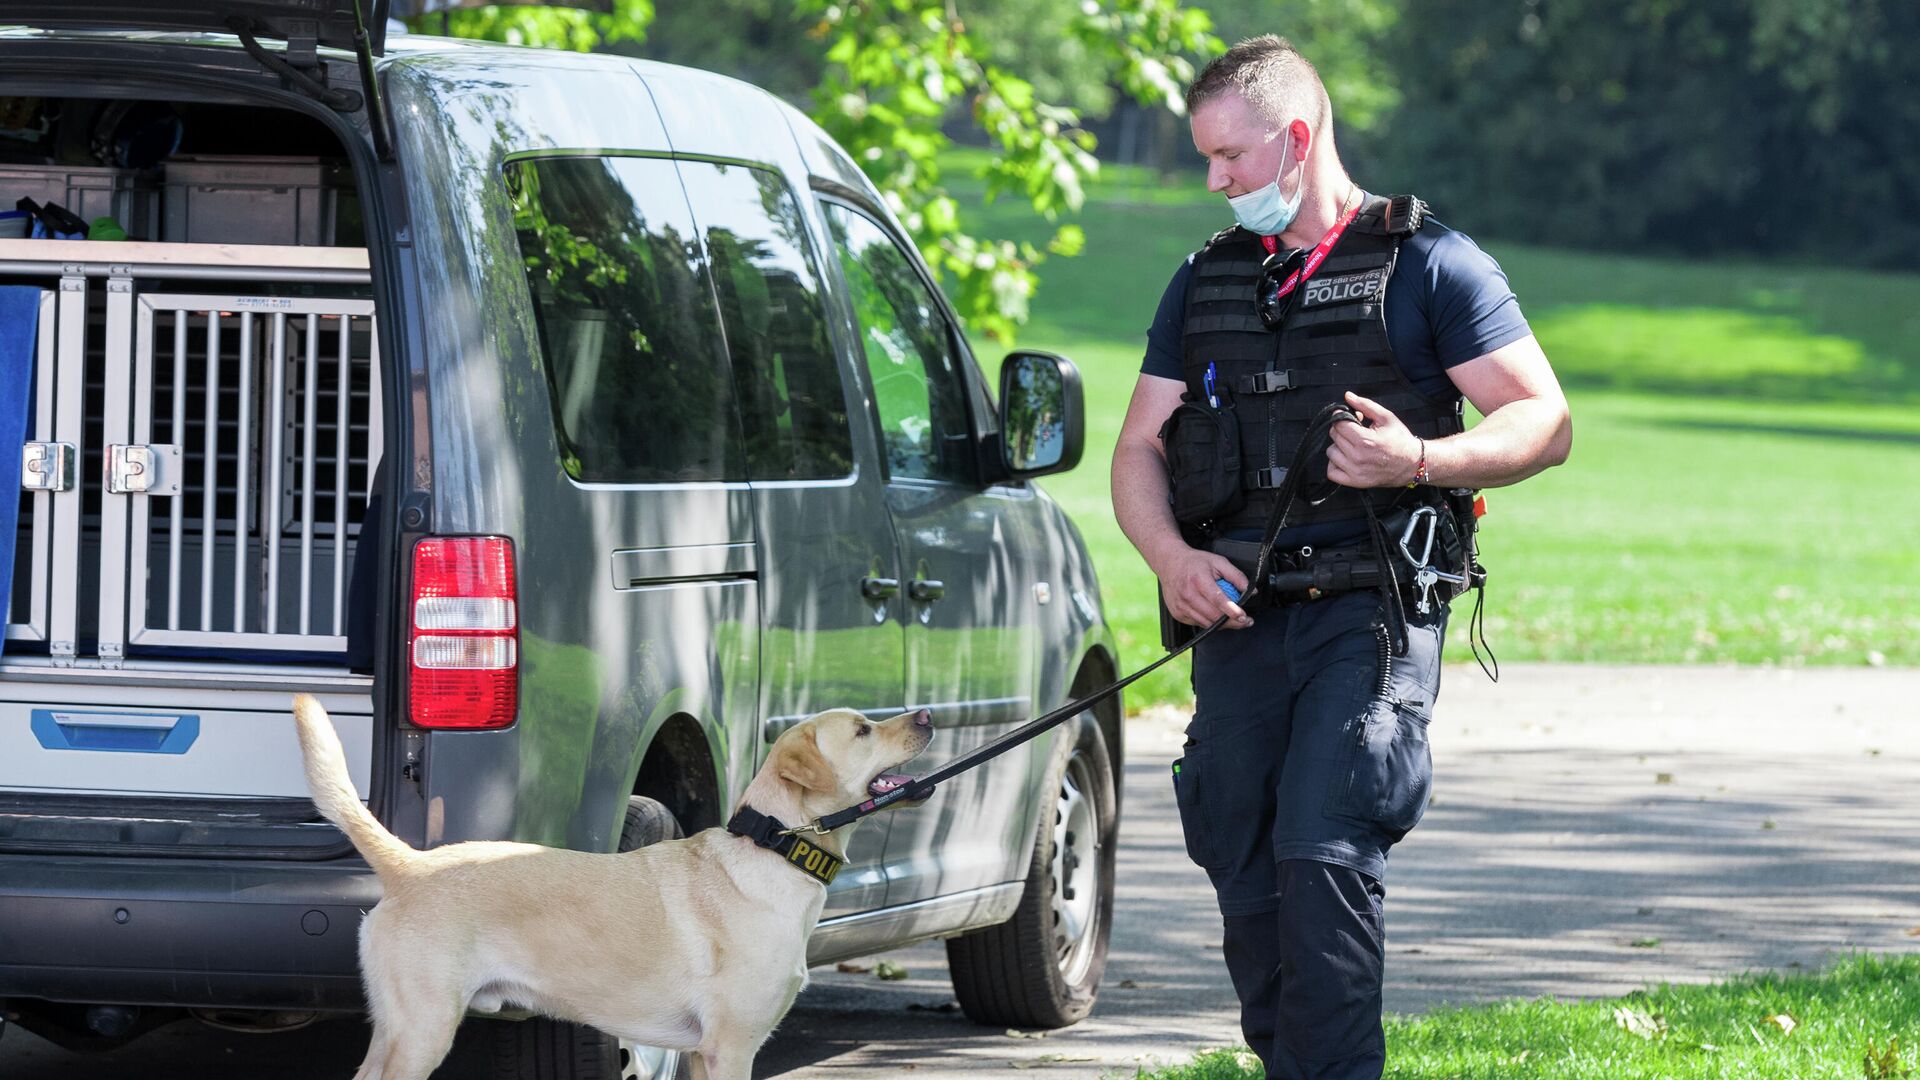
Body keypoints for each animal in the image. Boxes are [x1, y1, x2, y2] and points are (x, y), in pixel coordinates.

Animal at [286, 691, 936, 1068]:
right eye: (863, 730)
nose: (929, 714)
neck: (772, 847)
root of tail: (410, 864)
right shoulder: (730, 1048)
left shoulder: (701, 1054)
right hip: (422, 1031)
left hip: (398, 1032)